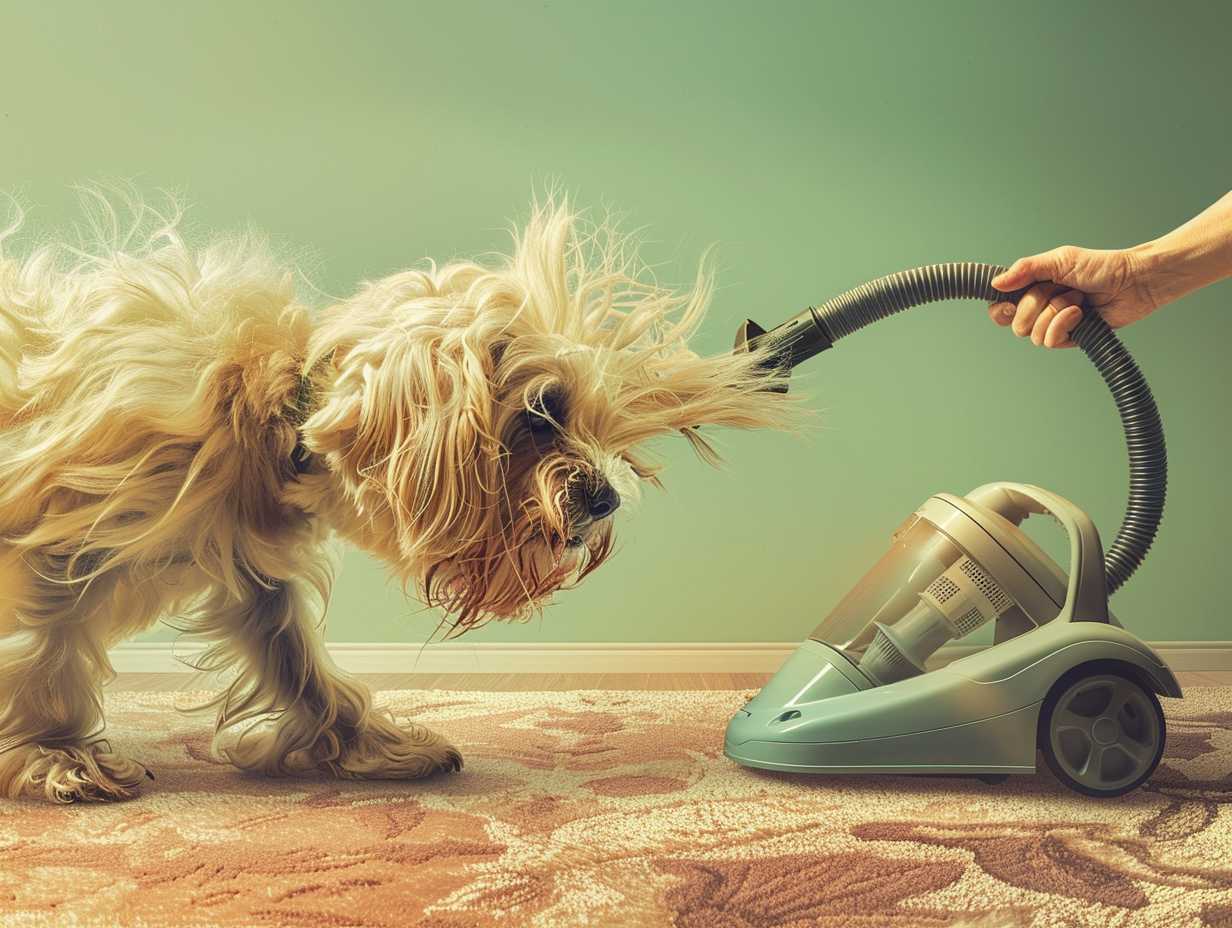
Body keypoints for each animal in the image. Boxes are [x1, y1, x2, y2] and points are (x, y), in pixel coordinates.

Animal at [0, 199, 788, 798]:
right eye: (540, 412)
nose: (605, 502)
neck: (273, 414)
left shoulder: (252, 569)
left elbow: (298, 662)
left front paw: (362, 745)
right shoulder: (54, 548)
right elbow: (49, 656)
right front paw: (57, 755)